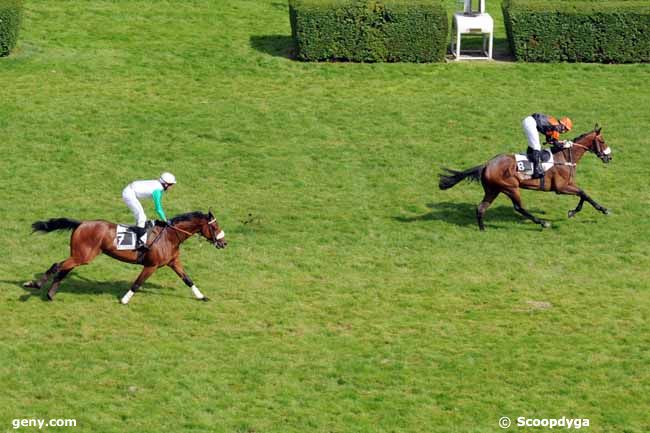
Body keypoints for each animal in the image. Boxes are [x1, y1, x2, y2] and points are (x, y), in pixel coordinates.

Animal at [24, 208, 227, 302]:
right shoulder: (151, 266)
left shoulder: (173, 262)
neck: (170, 236)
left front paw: (202, 296)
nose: (224, 243)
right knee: (57, 265)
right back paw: (34, 284)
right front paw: (124, 300)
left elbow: (188, 279)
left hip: (80, 255)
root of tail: (81, 223)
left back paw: (50, 293)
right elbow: (137, 283)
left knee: (64, 269)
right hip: (84, 256)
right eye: (215, 226)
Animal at [438, 125, 612, 230]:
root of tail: (486, 165)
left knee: (481, 207)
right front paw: (602, 209)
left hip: (493, 190)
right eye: (602, 141)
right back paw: (542, 223)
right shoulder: (561, 187)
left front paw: (573, 212)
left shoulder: (568, 185)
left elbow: (583, 194)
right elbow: (584, 193)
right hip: (510, 187)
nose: (609, 157)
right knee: (519, 207)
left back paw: (482, 229)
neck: (564, 156)